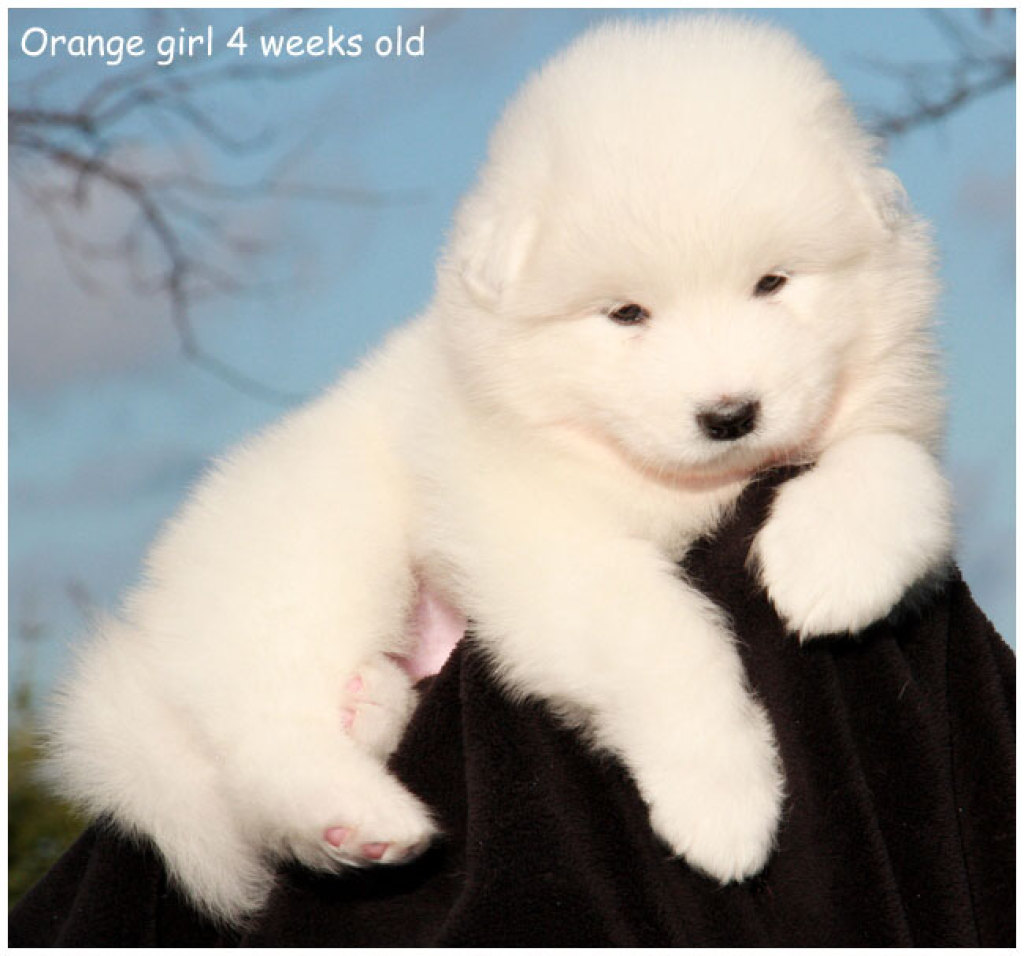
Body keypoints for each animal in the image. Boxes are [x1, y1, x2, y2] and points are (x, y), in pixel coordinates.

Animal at [44, 16, 952, 926]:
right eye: (626, 314)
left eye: (773, 282)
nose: (730, 415)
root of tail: (156, 635)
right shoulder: (544, 542)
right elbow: (664, 636)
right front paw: (724, 803)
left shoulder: (893, 418)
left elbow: (897, 465)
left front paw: (835, 564)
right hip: (313, 554)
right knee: (261, 742)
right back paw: (357, 814)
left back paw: (368, 707)